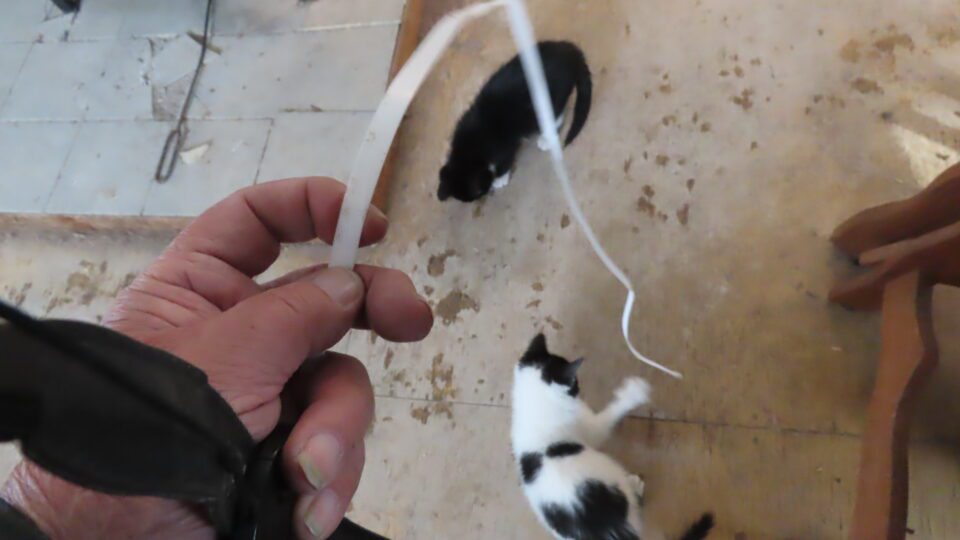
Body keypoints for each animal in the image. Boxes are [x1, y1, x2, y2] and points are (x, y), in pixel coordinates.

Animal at [438, 40, 593, 202]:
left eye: (478, 193)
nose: (483, 195)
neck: (469, 146)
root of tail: (572, 54)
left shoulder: (504, 146)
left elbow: (505, 162)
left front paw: (499, 179)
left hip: (551, 98)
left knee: (556, 115)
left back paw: (546, 138)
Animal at [511, 334, 714, 540]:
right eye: (574, 381)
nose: (578, 388)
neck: (536, 403)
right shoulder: (588, 429)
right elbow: (606, 421)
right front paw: (634, 392)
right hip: (614, 480)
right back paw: (635, 485)